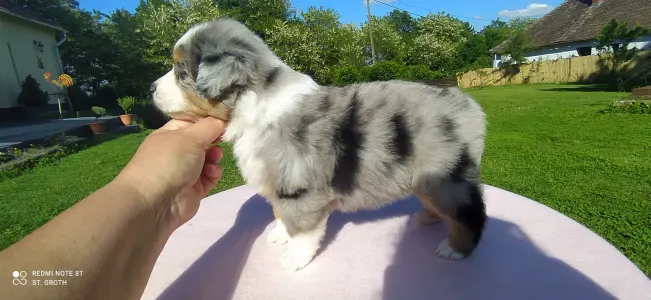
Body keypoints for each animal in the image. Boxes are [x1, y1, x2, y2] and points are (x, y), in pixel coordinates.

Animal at [152, 18, 488, 272]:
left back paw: (455, 249)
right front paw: (278, 234)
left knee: (470, 211)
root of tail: (469, 105)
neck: (254, 105)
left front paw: (293, 258)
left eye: (181, 73)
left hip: (447, 177)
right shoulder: (279, 183)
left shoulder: (297, 185)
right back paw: (427, 218)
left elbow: (301, 229)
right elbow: (279, 213)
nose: (151, 88)